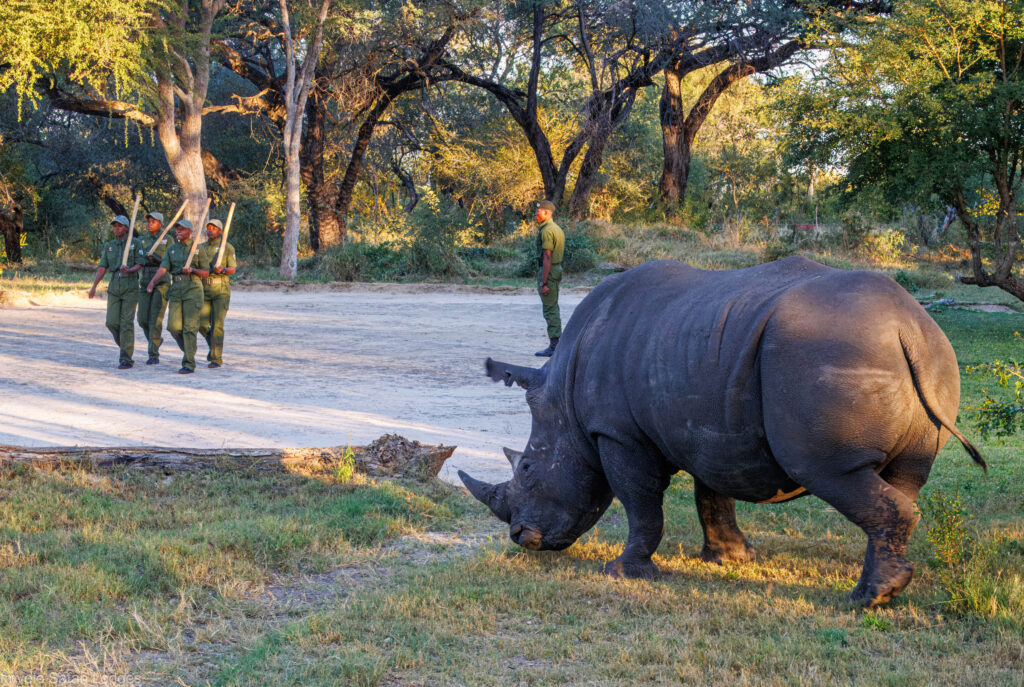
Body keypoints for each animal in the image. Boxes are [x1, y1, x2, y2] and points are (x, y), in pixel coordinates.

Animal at [460, 257, 985, 607]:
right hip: (929, 355)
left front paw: (624, 573)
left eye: (528, 468)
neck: (564, 399)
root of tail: (907, 325)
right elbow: (712, 496)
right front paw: (731, 560)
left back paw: (868, 599)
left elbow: (641, 503)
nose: (520, 537)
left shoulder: (617, 434)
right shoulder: (710, 428)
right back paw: (879, 591)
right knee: (905, 478)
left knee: (830, 472)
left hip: (828, 355)